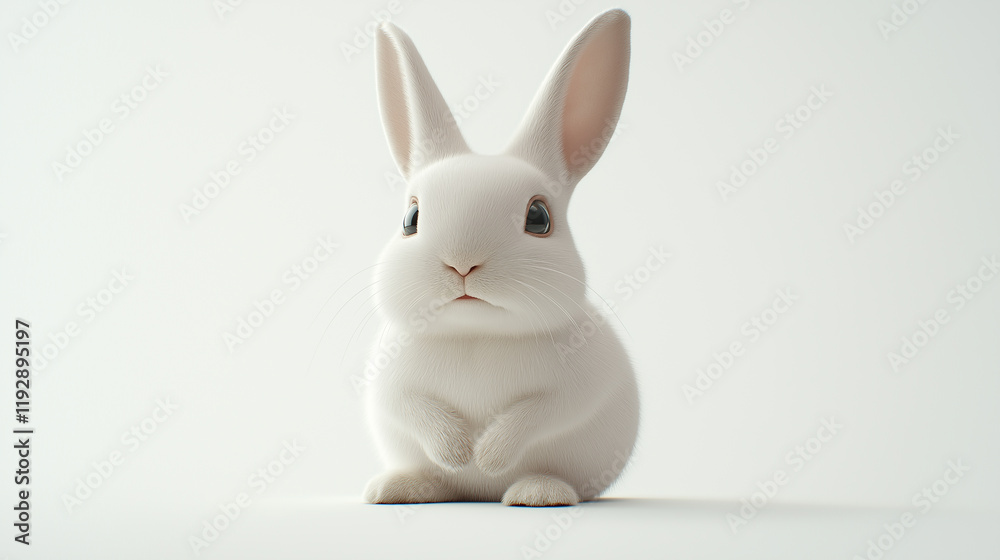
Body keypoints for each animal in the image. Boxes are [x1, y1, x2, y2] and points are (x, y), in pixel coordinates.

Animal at [362, 8, 639, 507]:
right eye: (411, 218)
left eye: (538, 217)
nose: (462, 263)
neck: (477, 332)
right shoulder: (390, 381)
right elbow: (411, 407)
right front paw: (457, 452)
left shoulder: (578, 386)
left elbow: (539, 413)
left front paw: (488, 456)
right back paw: (399, 487)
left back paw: (537, 492)